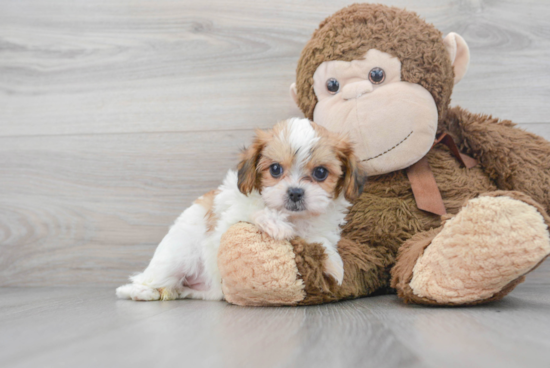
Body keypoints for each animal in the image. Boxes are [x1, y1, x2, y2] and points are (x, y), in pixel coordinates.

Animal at [116, 118, 366, 302]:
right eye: (275, 169)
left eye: (320, 173)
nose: (295, 192)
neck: (294, 217)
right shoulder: (229, 220)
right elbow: (253, 210)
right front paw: (277, 224)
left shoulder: (319, 227)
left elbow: (320, 241)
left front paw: (334, 264)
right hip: (175, 258)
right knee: (146, 280)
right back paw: (140, 291)